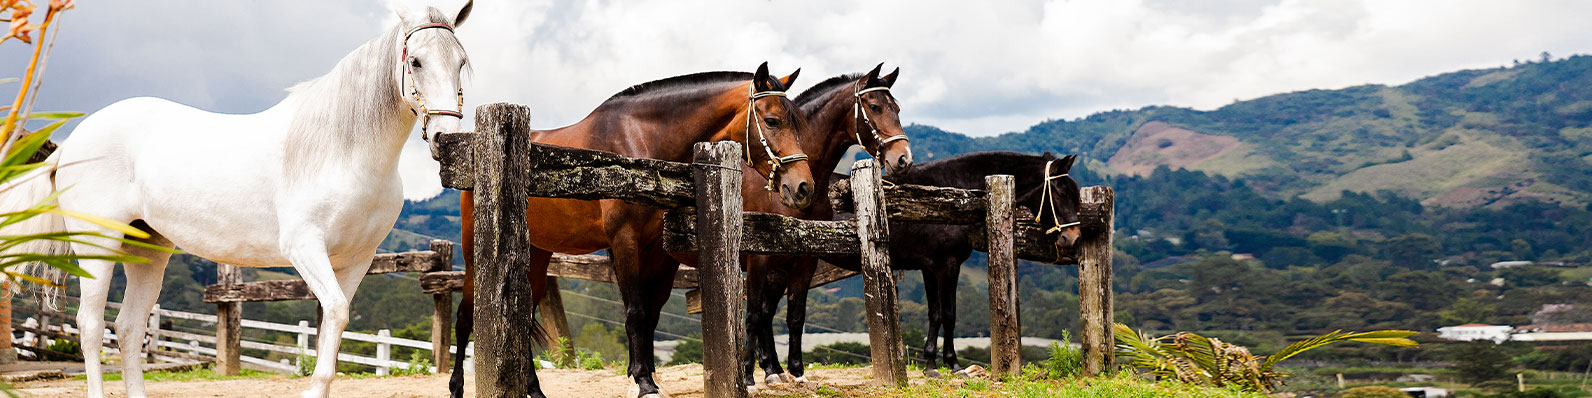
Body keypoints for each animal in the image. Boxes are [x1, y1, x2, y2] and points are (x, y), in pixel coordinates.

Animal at [0, 3, 474, 398]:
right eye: (415, 61)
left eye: (461, 62)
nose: (446, 139)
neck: (341, 151)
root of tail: (75, 140)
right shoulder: (304, 249)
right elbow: (336, 314)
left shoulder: (355, 262)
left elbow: (333, 322)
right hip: (97, 246)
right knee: (91, 326)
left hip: (147, 249)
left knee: (129, 327)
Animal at [452, 62, 821, 398]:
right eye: (772, 121)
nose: (803, 187)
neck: (641, 145)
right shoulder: (624, 241)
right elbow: (635, 312)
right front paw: (643, 382)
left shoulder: (659, 251)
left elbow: (651, 315)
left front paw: (644, 376)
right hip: (474, 255)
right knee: (465, 318)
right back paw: (457, 387)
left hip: (538, 256)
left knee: (524, 319)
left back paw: (535, 390)